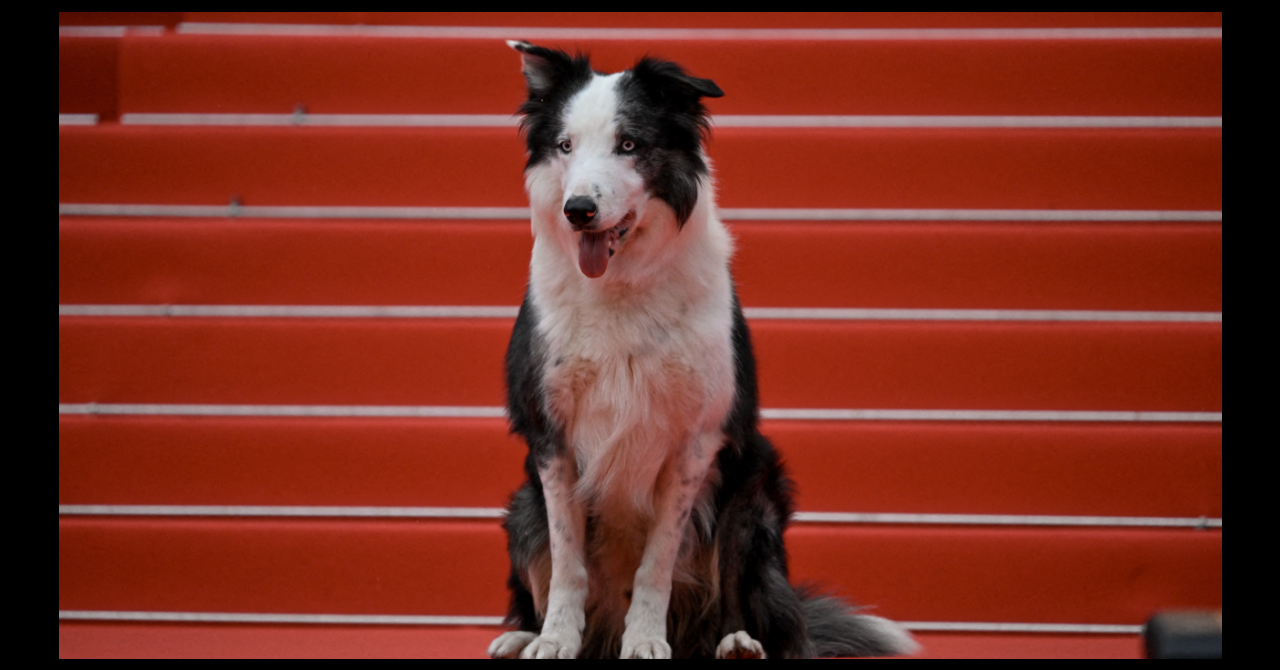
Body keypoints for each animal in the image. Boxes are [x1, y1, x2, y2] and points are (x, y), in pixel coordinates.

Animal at [483, 41, 916, 661]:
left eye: (629, 144)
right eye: (565, 146)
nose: (578, 209)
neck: (622, 284)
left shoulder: (696, 443)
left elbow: (657, 562)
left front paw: (644, 640)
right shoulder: (551, 437)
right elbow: (567, 562)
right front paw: (556, 639)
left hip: (752, 497)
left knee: (764, 618)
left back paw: (737, 642)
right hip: (522, 506)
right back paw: (523, 635)